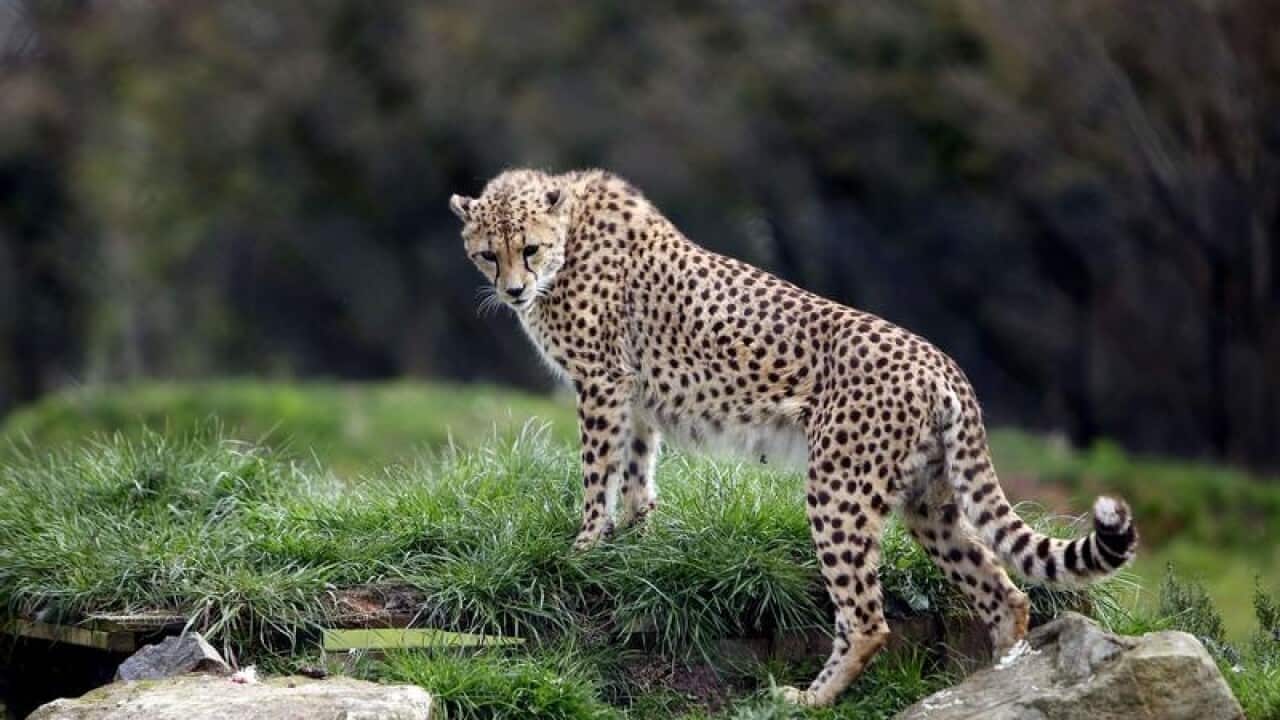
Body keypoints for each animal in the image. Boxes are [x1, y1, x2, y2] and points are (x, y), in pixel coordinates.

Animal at [449, 168, 1138, 706]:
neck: (569, 237)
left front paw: (585, 548)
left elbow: (598, 474)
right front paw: (636, 545)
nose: (512, 290)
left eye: (529, 249)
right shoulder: (634, 394)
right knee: (1004, 593)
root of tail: (941, 362)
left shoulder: (601, 382)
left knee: (868, 619)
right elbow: (638, 473)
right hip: (930, 500)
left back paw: (809, 699)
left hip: (838, 487)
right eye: (488, 254)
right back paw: (994, 684)